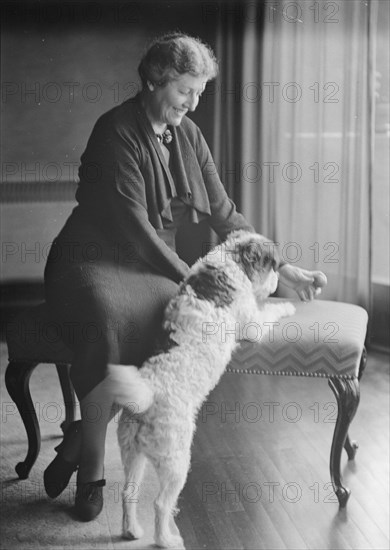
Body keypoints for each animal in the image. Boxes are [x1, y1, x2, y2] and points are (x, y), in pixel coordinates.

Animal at [106, 231, 296, 548]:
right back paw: (166, 539)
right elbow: (272, 310)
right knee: (160, 504)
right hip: (176, 460)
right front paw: (288, 305)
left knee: (127, 493)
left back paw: (131, 530)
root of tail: (146, 398)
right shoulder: (254, 324)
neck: (230, 261)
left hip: (132, 454)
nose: (278, 281)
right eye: (274, 265)